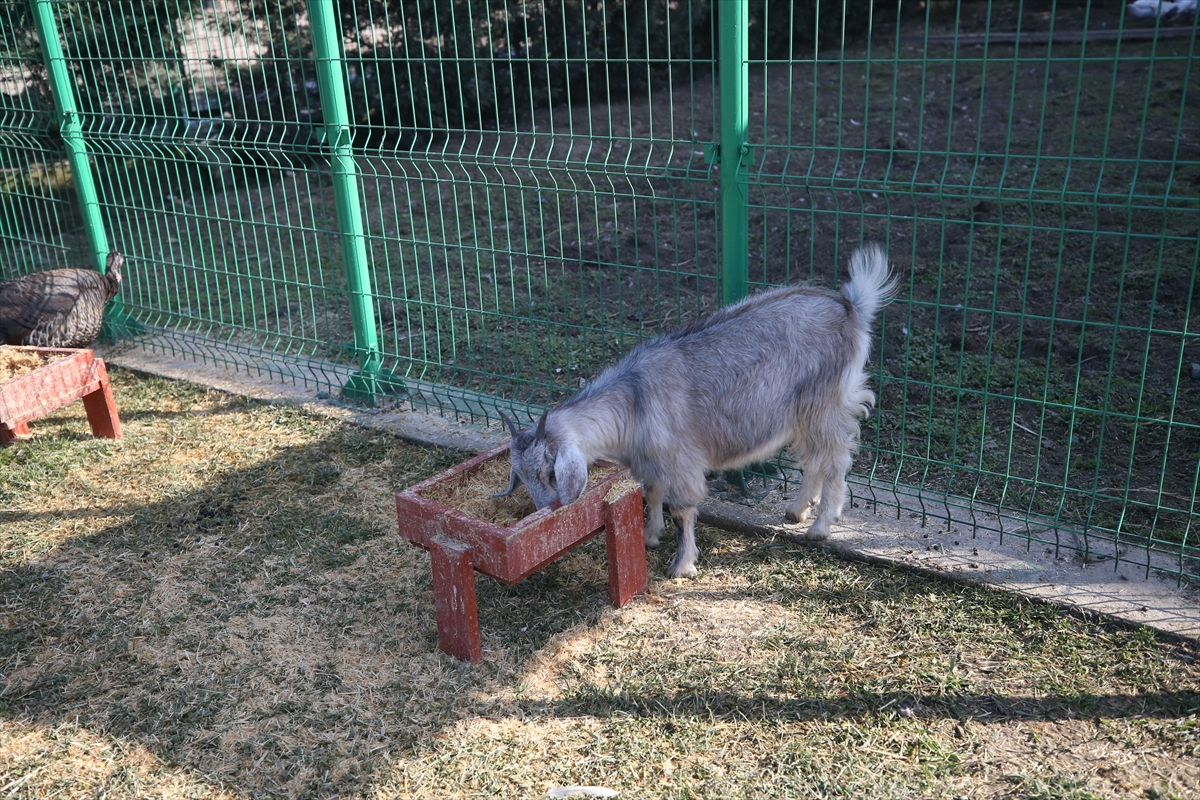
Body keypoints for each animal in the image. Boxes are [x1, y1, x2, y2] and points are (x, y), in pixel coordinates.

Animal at [492, 244, 897, 575]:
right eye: (519, 475)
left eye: (550, 472)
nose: (547, 508)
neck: (633, 401)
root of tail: (850, 306)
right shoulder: (650, 463)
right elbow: (652, 493)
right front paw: (649, 535)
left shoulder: (682, 461)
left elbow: (681, 509)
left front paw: (682, 564)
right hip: (805, 412)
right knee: (814, 458)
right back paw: (797, 510)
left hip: (824, 402)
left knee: (836, 458)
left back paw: (821, 525)